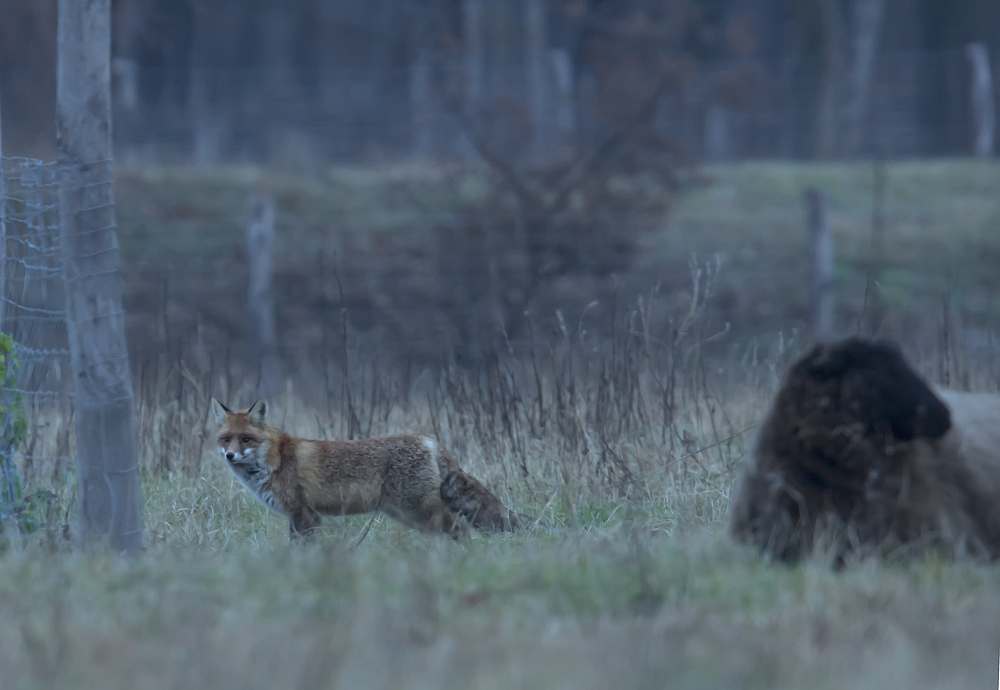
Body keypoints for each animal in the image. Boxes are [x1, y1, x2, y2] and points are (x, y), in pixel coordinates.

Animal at [211, 398, 529, 540]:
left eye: (246, 439)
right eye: (226, 439)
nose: (230, 455)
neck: (274, 459)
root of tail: (430, 440)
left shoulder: (304, 515)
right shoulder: (302, 517)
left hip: (419, 512)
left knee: (459, 530)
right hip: (409, 514)